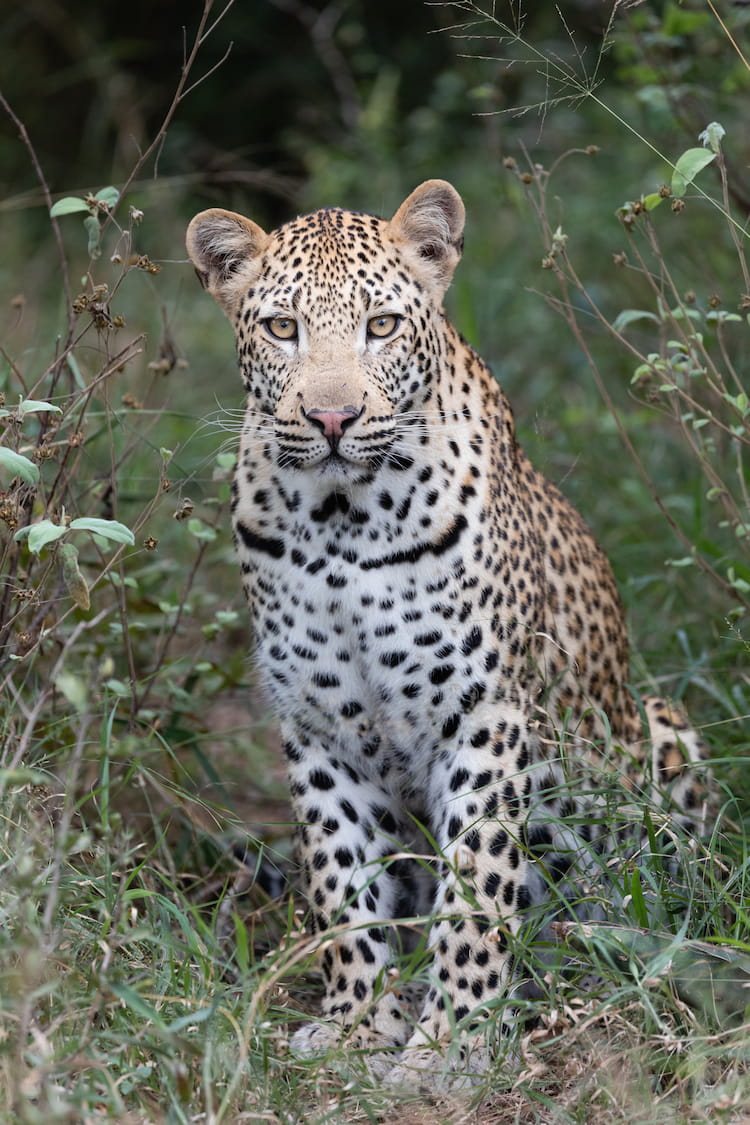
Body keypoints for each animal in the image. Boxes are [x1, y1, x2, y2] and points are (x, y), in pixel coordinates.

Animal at [186, 180, 712, 1086]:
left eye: (382, 325)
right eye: (283, 328)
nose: (332, 418)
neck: (341, 523)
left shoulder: (484, 714)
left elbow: (476, 881)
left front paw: (455, 1040)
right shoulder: (318, 727)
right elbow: (341, 881)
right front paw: (360, 1024)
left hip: (662, 729)